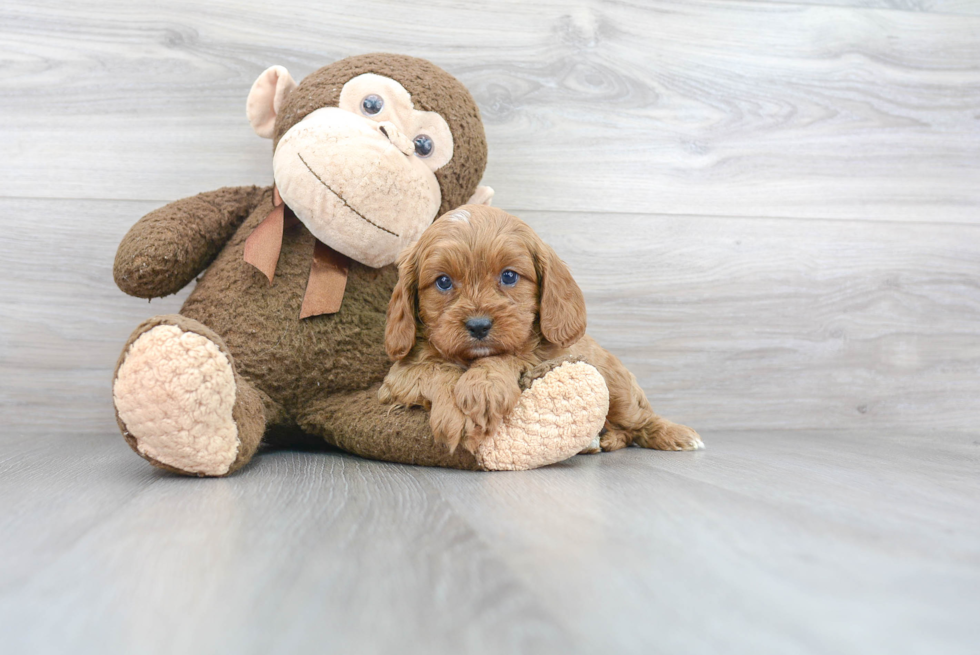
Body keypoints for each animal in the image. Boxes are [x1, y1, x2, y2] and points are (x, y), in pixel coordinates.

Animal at [378, 205, 704, 456]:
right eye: (443, 282)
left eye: (509, 276)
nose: (479, 325)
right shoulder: (398, 377)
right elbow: (436, 370)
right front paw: (458, 411)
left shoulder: (542, 354)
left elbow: (508, 355)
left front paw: (484, 387)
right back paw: (601, 439)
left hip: (619, 389)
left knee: (640, 420)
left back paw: (676, 434)